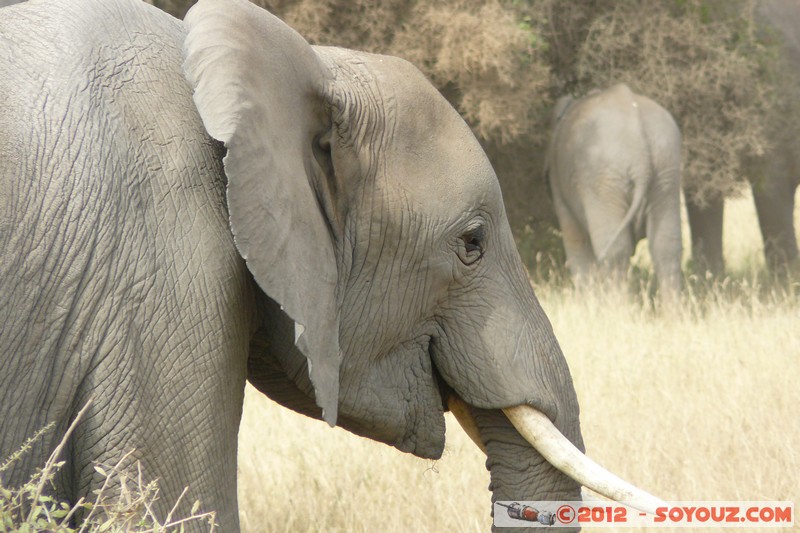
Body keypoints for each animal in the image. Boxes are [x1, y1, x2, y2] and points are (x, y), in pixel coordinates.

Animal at [544, 85, 680, 298]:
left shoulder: (558, 179)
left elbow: (575, 238)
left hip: (603, 179)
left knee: (614, 251)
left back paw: (616, 304)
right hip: (666, 169)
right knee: (666, 248)